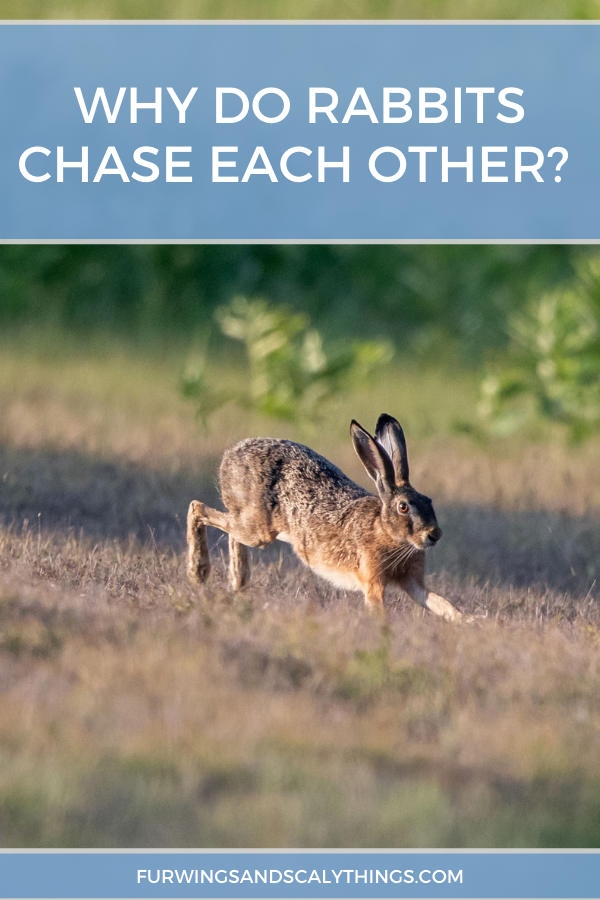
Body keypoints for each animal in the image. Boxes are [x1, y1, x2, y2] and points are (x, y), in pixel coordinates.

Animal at [187, 413, 462, 621]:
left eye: (429, 501)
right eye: (403, 507)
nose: (434, 535)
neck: (386, 531)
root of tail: (229, 456)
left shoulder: (413, 583)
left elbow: (439, 603)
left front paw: (465, 621)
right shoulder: (372, 580)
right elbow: (377, 609)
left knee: (231, 530)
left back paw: (238, 583)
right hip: (258, 530)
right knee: (197, 508)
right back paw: (198, 572)